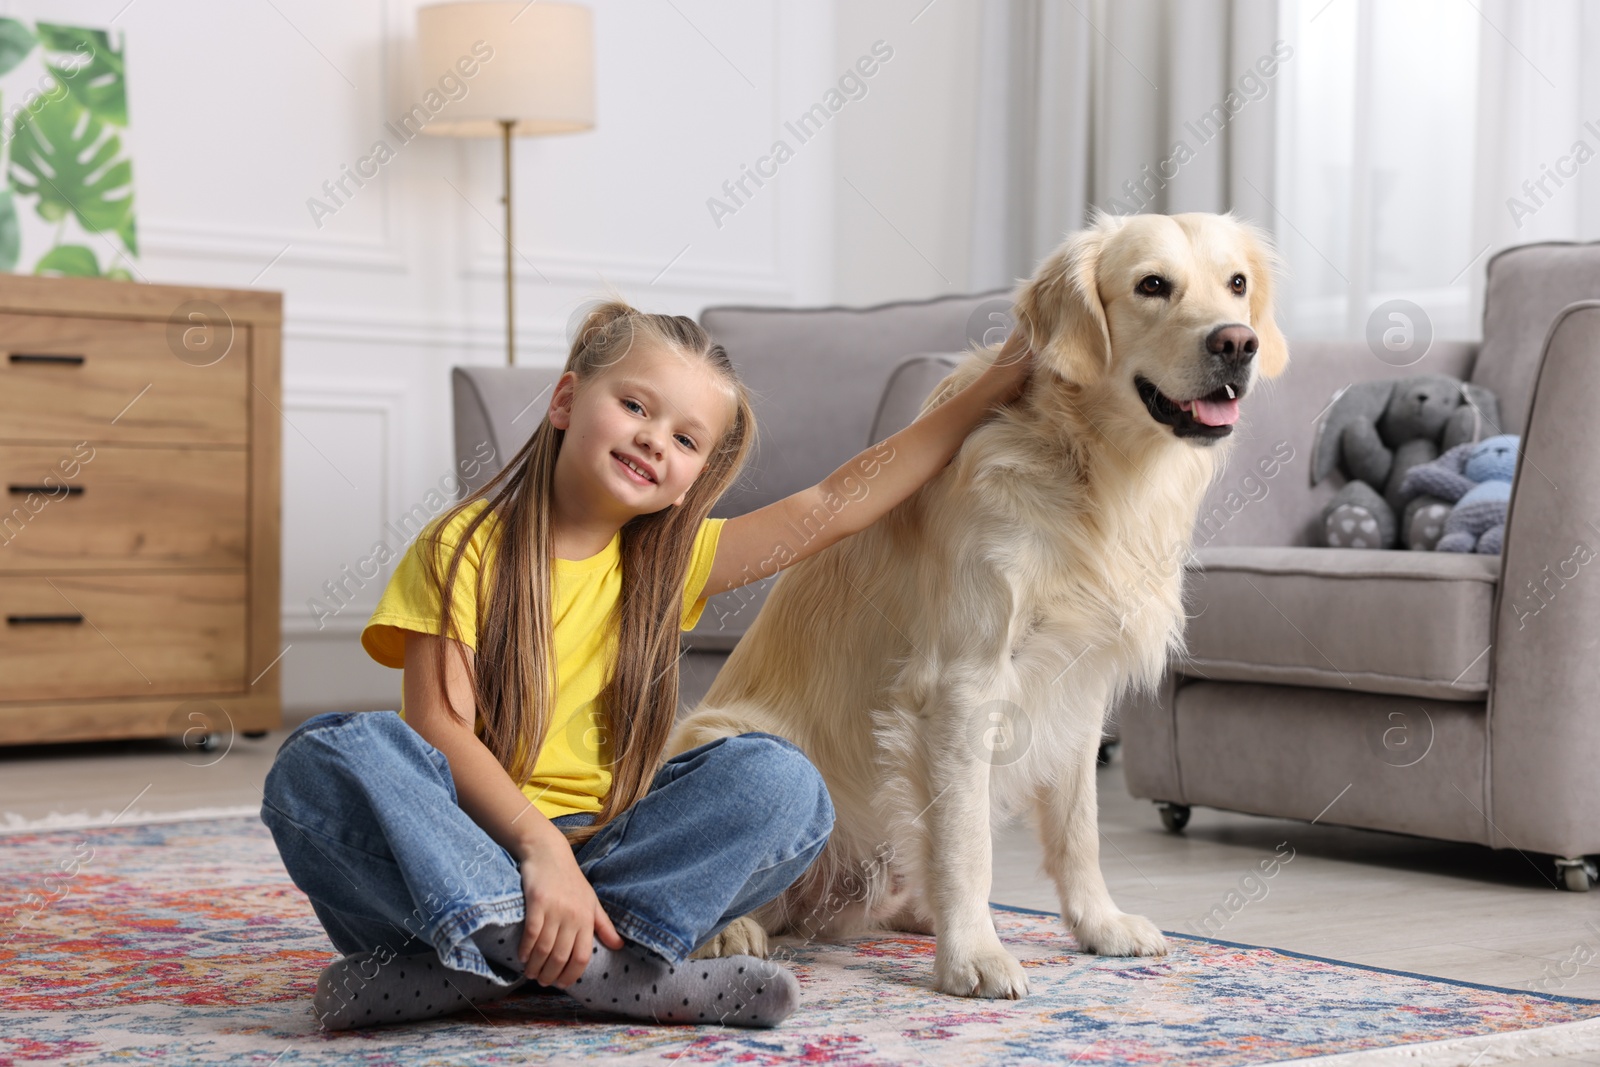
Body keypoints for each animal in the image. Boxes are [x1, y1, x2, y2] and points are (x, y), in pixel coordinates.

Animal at [672, 212, 1286, 998]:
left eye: (1236, 284)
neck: (1090, 465)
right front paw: (974, 955)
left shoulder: (1078, 684)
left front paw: (1098, 925)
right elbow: (968, 843)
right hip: (723, 728)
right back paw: (732, 930)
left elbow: (1079, 826)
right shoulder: (963, 681)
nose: (1238, 343)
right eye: (1152, 285)